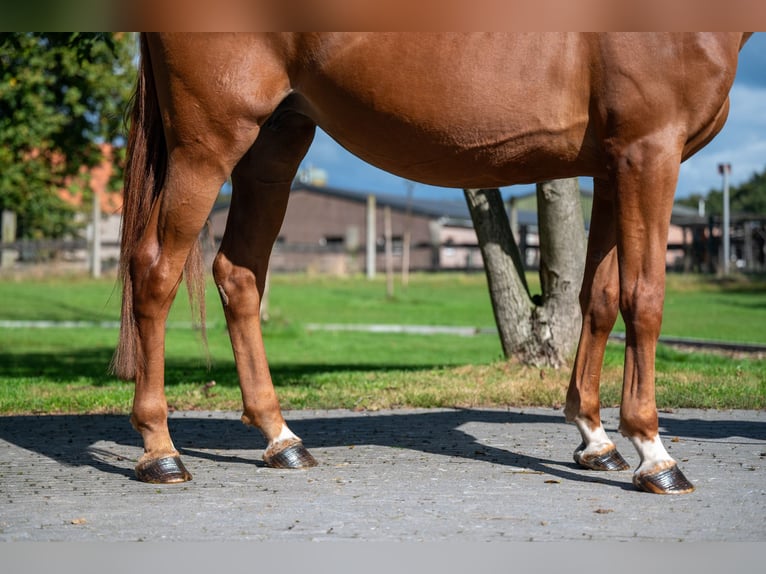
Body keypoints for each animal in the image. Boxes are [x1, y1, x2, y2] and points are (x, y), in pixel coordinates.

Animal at [111, 32, 752, 496]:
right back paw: (160, 452)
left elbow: (598, 298)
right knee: (154, 271)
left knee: (239, 275)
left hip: (275, 143)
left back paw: (281, 440)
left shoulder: (612, 165)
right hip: (208, 144)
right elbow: (644, 296)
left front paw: (595, 440)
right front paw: (654, 454)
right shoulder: (649, 151)